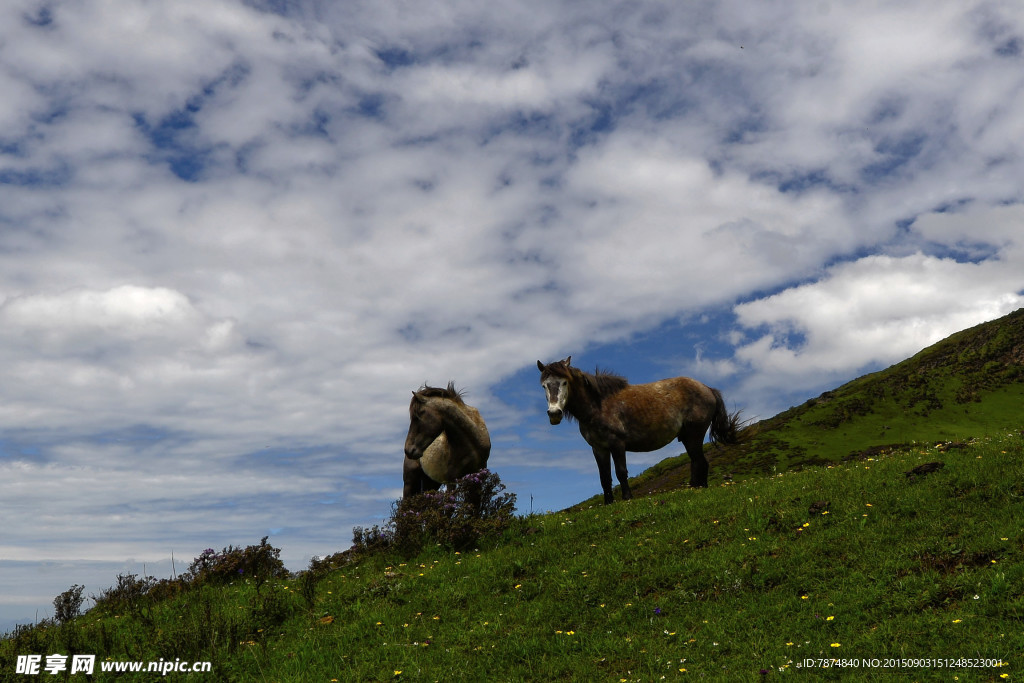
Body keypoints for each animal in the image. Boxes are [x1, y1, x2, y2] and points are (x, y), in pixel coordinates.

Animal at [536, 358, 745, 501]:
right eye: (544, 385)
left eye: (564, 382)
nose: (554, 413)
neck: (598, 405)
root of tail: (708, 389)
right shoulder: (599, 448)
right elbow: (604, 477)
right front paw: (608, 503)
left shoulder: (617, 444)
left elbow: (621, 472)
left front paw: (627, 498)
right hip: (688, 437)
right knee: (697, 462)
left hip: (694, 435)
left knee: (700, 462)